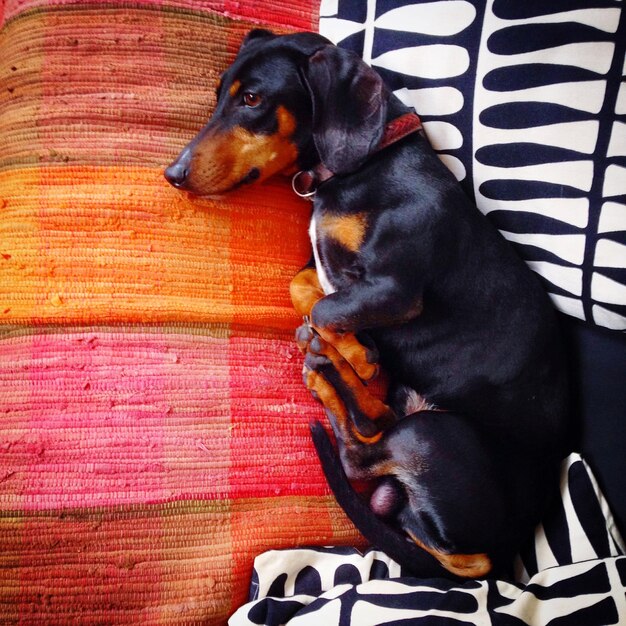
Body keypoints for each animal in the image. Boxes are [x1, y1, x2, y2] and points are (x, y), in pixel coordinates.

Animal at [165, 28, 564, 576]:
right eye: (219, 96)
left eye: (252, 100)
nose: (173, 173)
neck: (368, 164)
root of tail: (498, 556)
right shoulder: (328, 272)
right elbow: (306, 290)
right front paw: (355, 349)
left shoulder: (396, 289)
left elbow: (324, 308)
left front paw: (354, 352)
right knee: (373, 422)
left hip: (429, 434)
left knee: (359, 453)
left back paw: (326, 373)